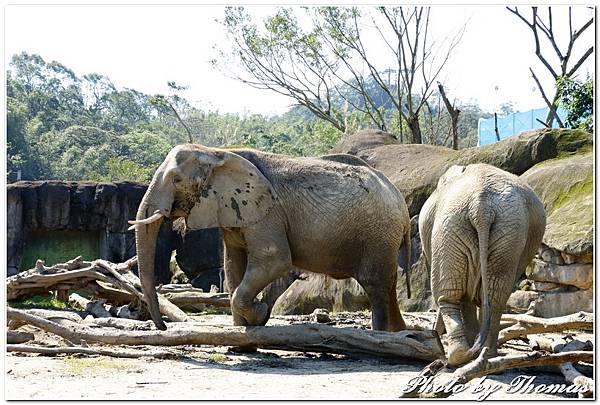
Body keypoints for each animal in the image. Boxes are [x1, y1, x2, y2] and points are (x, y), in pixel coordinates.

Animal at [131, 145, 412, 332]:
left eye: (176, 179)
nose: (163, 327)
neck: (216, 152)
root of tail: (401, 202)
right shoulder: (235, 211)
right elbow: (233, 266)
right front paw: (242, 331)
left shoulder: (267, 211)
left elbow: (274, 260)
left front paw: (260, 315)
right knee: (387, 283)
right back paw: (399, 333)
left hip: (378, 232)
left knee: (374, 283)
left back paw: (381, 335)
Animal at [420, 163, 548, 364]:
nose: (435, 333)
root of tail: (481, 208)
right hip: (505, 232)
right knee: (495, 296)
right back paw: (483, 353)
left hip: (451, 227)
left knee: (449, 295)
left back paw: (460, 356)